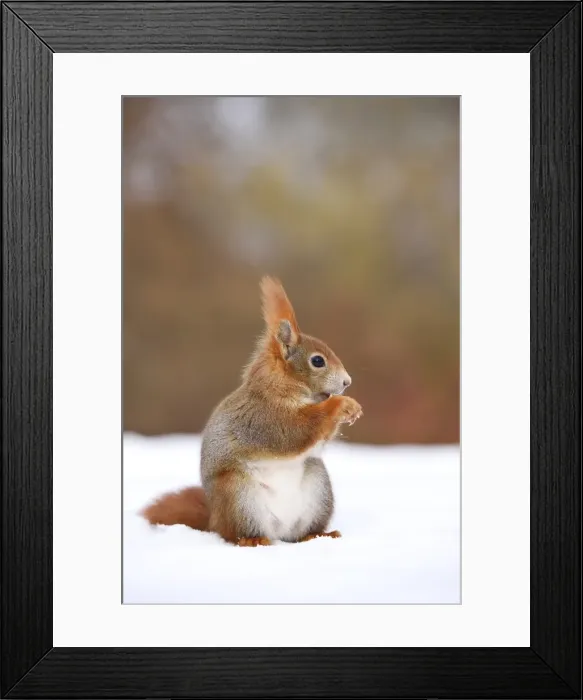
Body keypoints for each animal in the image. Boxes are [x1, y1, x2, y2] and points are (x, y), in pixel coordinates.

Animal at [141, 276, 363, 546]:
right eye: (317, 361)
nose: (347, 382)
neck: (282, 387)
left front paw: (351, 409)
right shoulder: (262, 417)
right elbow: (294, 431)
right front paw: (342, 404)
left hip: (318, 487)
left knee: (300, 534)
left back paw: (319, 534)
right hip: (238, 494)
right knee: (235, 534)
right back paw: (254, 540)